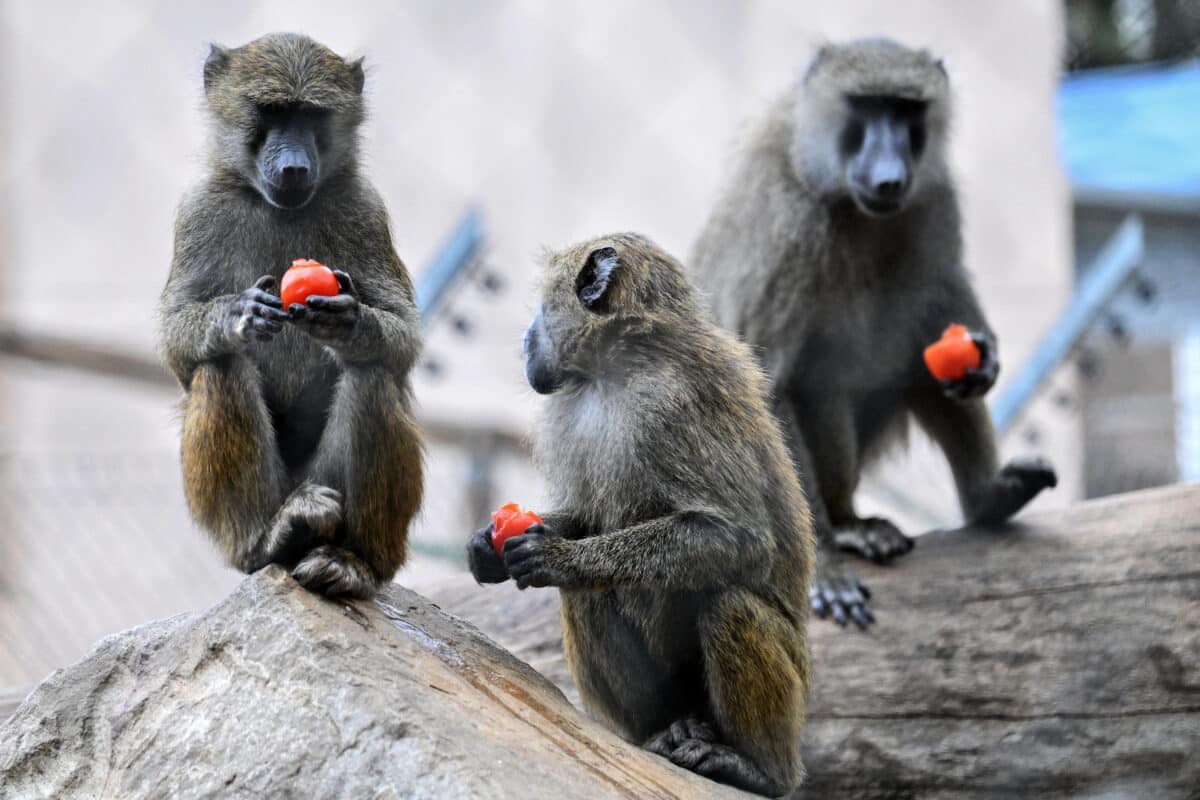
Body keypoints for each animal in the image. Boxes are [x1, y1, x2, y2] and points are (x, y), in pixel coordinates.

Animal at [159, 33, 422, 600]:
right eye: (273, 112)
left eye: (311, 115)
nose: (296, 168)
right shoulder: (198, 210)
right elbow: (178, 342)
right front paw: (235, 314)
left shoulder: (365, 210)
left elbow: (402, 340)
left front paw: (350, 323)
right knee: (221, 365)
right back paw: (271, 538)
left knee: (371, 374)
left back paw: (353, 562)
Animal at [465, 234, 814, 797]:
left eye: (542, 308)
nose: (523, 340)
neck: (620, 369)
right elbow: (586, 518)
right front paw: (488, 548)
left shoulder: (676, 404)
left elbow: (739, 537)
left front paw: (561, 557)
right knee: (589, 597)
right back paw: (662, 732)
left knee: (730, 604)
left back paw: (759, 769)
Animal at [689, 38, 1057, 629]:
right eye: (865, 108)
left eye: (906, 111)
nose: (889, 178)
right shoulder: (790, 225)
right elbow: (766, 387)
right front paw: (823, 570)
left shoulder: (933, 197)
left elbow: (941, 287)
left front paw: (985, 355)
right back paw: (844, 529)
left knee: (920, 357)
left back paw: (988, 498)